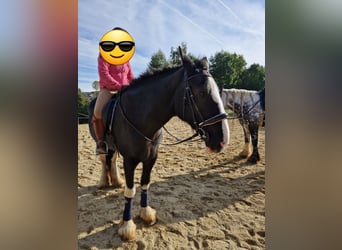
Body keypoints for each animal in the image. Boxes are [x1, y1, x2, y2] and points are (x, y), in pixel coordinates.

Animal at [87, 47, 230, 241]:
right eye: (201, 93)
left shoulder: (151, 158)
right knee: (104, 159)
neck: (141, 117)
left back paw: (115, 180)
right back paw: (104, 181)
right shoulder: (130, 160)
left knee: (112, 159)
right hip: (100, 142)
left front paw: (146, 213)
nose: (223, 139)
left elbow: (145, 183)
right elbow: (130, 190)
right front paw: (127, 226)